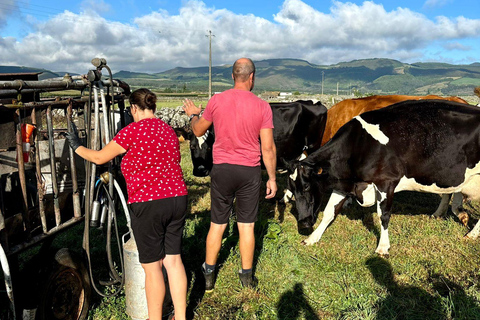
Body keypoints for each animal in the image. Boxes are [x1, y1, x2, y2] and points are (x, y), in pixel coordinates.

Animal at [284, 100, 480, 255]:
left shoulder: (386, 182)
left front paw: (383, 247)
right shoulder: (344, 182)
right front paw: (312, 238)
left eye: (307, 187)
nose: (303, 223)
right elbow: (329, 212)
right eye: (292, 189)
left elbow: (383, 215)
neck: (359, 144)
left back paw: (471, 234)